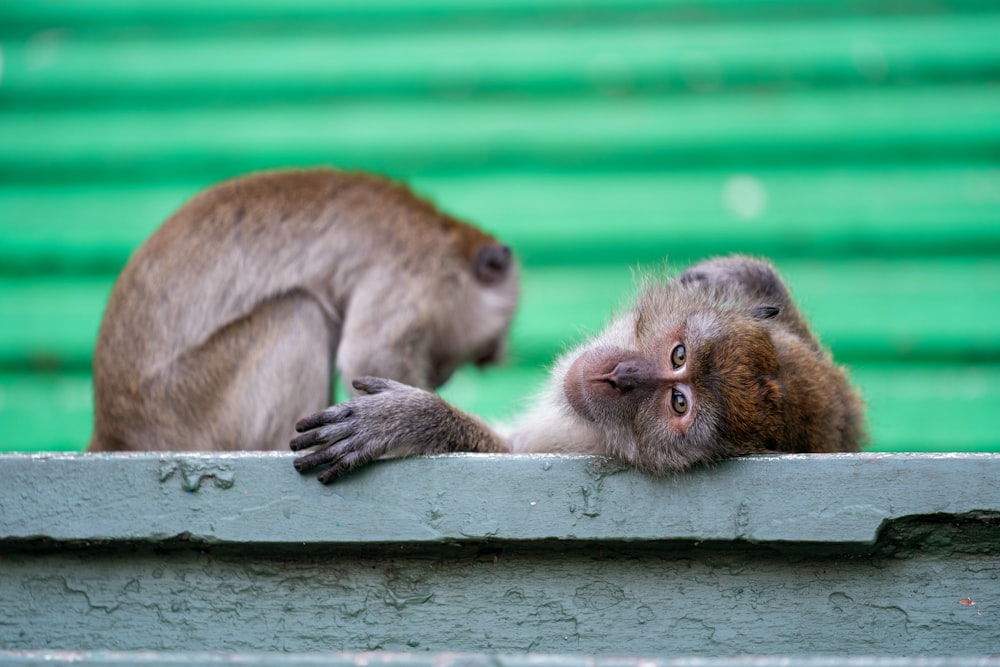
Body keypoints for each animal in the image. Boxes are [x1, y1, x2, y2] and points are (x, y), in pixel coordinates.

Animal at [90, 167, 520, 454]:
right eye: (484, 352)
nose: (443, 375)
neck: (449, 239)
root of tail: (114, 430)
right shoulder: (419, 274)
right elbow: (372, 355)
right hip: (190, 411)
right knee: (298, 310)